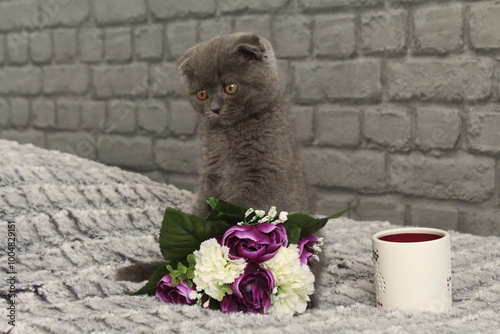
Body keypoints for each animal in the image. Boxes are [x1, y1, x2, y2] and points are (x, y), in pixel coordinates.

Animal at [178, 32, 314, 217]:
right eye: (202, 94)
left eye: (231, 88)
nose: (215, 109)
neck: (230, 131)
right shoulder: (211, 173)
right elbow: (202, 204)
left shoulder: (264, 173)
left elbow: (243, 207)